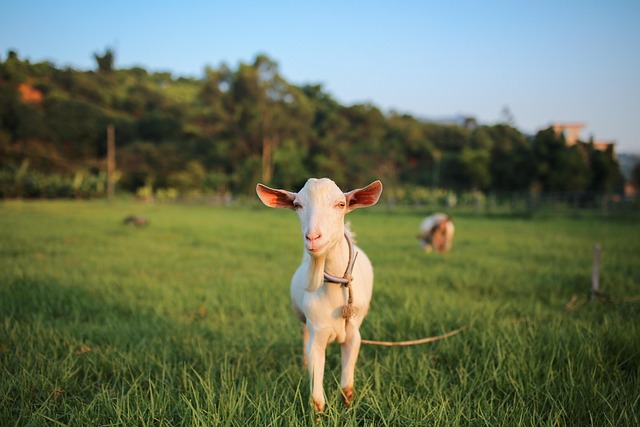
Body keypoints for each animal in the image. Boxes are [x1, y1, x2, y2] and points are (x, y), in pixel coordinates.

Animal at [256, 178, 383, 412]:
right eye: (297, 205)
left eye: (341, 204)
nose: (313, 237)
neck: (335, 290)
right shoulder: (317, 331)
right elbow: (316, 395)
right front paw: (318, 415)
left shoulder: (353, 334)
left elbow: (347, 386)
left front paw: (347, 410)